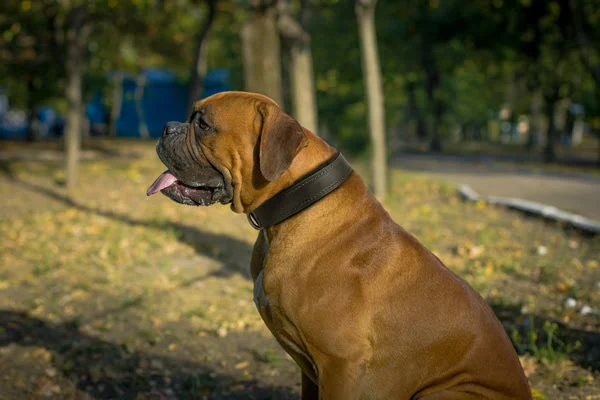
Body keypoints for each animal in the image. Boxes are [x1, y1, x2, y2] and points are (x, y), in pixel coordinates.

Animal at [148, 92, 532, 398]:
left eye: (204, 125)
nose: (166, 126)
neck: (294, 207)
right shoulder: (310, 372)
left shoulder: (341, 366)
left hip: (440, 394)